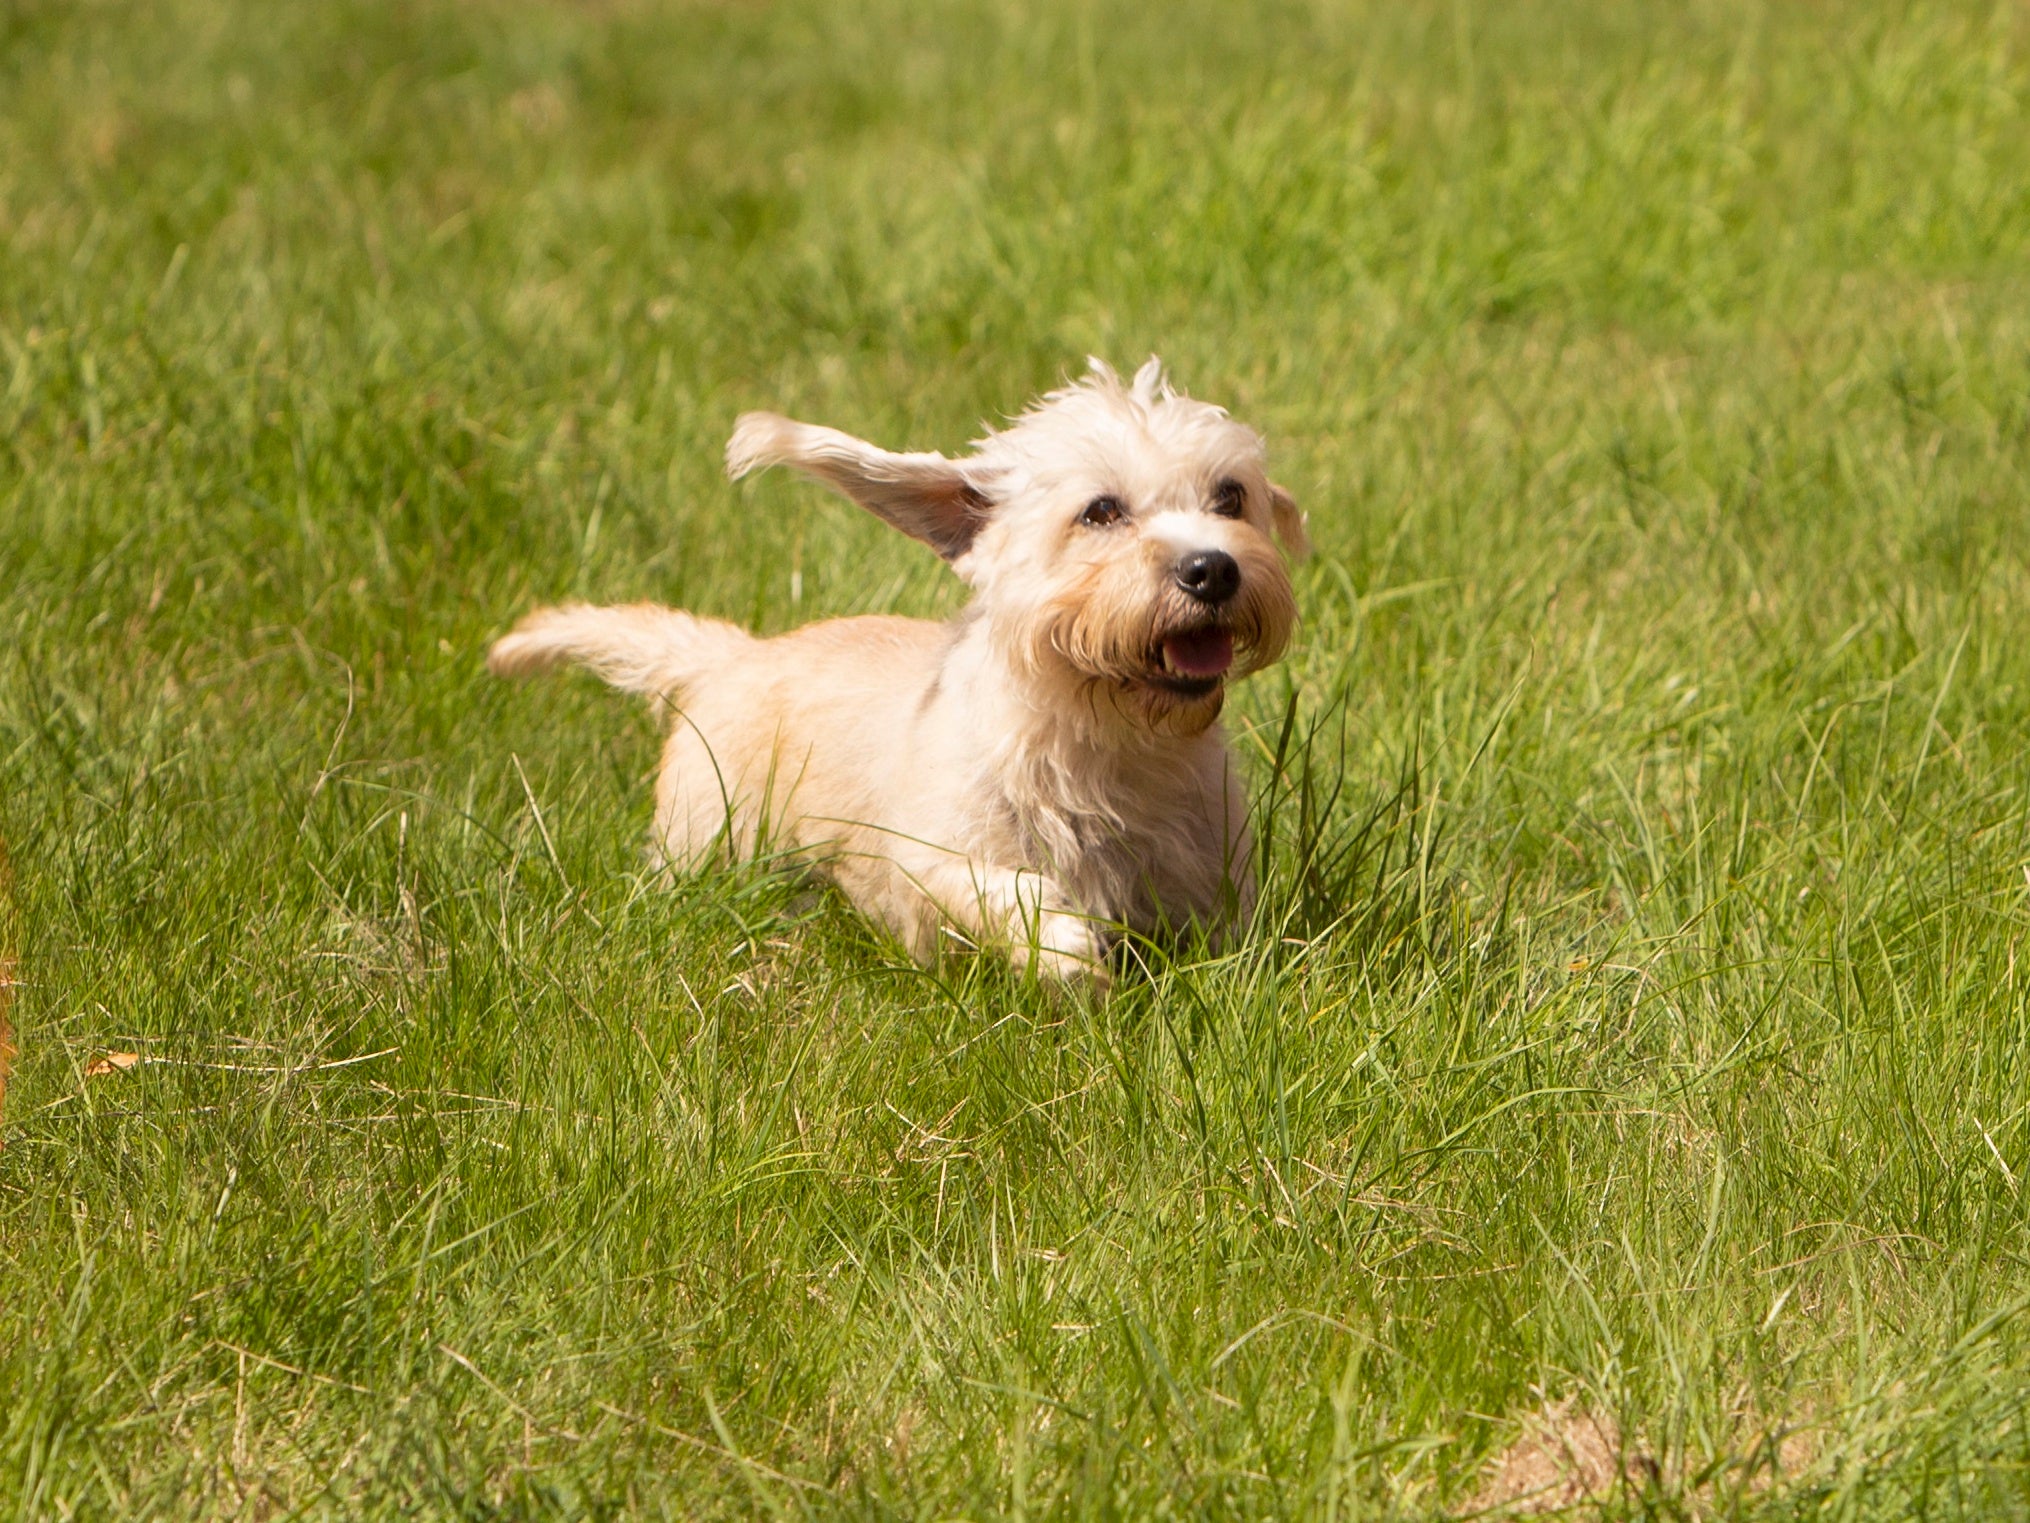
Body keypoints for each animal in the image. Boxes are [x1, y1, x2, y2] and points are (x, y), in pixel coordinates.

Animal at [495, 357, 1315, 982]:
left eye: (1230, 497)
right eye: (1102, 511)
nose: (1213, 569)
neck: (1105, 737)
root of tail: (734, 655)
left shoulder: (1214, 880)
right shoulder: (930, 858)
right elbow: (993, 889)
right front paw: (1063, 948)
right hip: (704, 835)